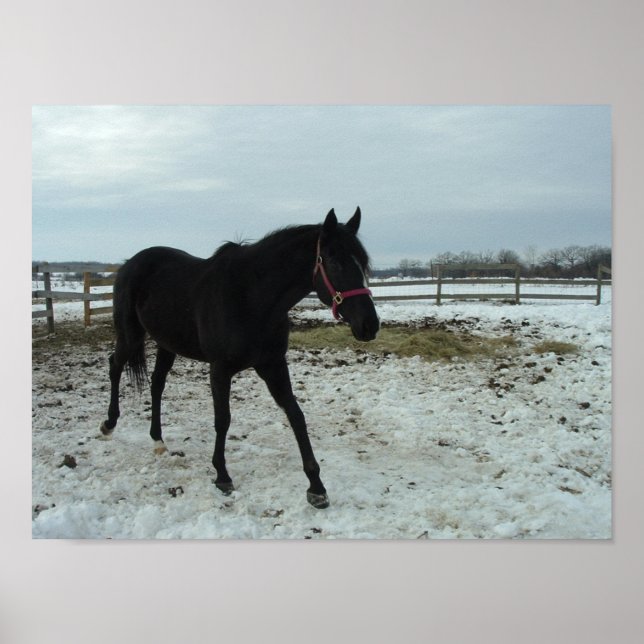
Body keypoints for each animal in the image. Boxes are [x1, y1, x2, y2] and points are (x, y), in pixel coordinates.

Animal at [100, 207, 380, 508]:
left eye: (364, 264)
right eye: (335, 262)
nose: (369, 325)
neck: (251, 297)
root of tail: (129, 264)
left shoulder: (273, 365)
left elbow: (296, 415)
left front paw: (316, 486)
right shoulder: (220, 369)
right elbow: (223, 419)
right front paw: (222, 475)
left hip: (167, 344)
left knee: (156, 383)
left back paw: (158, 441)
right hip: (130, 335)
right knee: (115, 366)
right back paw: (109, 424)